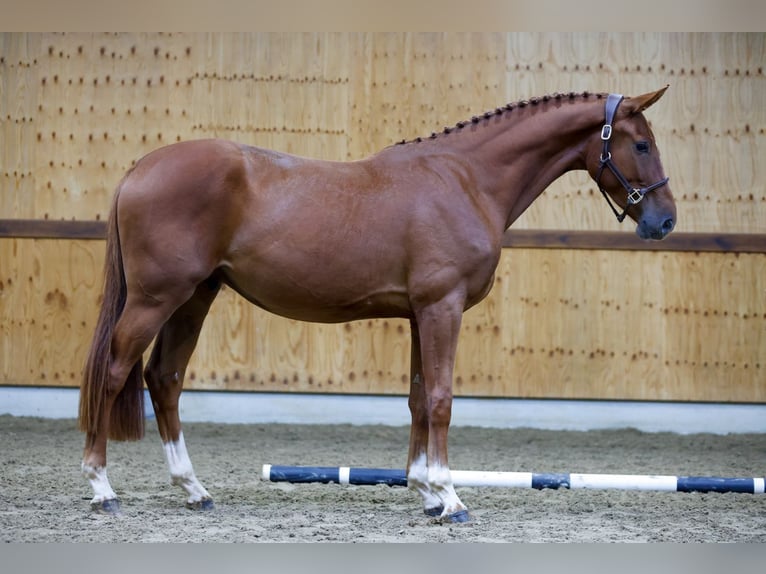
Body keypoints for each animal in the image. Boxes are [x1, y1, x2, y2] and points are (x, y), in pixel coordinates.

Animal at [79, 88, 680, 524]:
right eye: (642, 145)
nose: (665, 221)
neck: (466, 180)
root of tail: (139, 168)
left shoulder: (421, 313)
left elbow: (417, 400)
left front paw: (426, 492)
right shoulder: (442, 308)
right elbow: (440, 399)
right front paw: (450, 499)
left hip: (193, 298)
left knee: (165, 378)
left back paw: (193, 489)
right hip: (157, 299)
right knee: (114, 371)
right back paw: (102, 489)